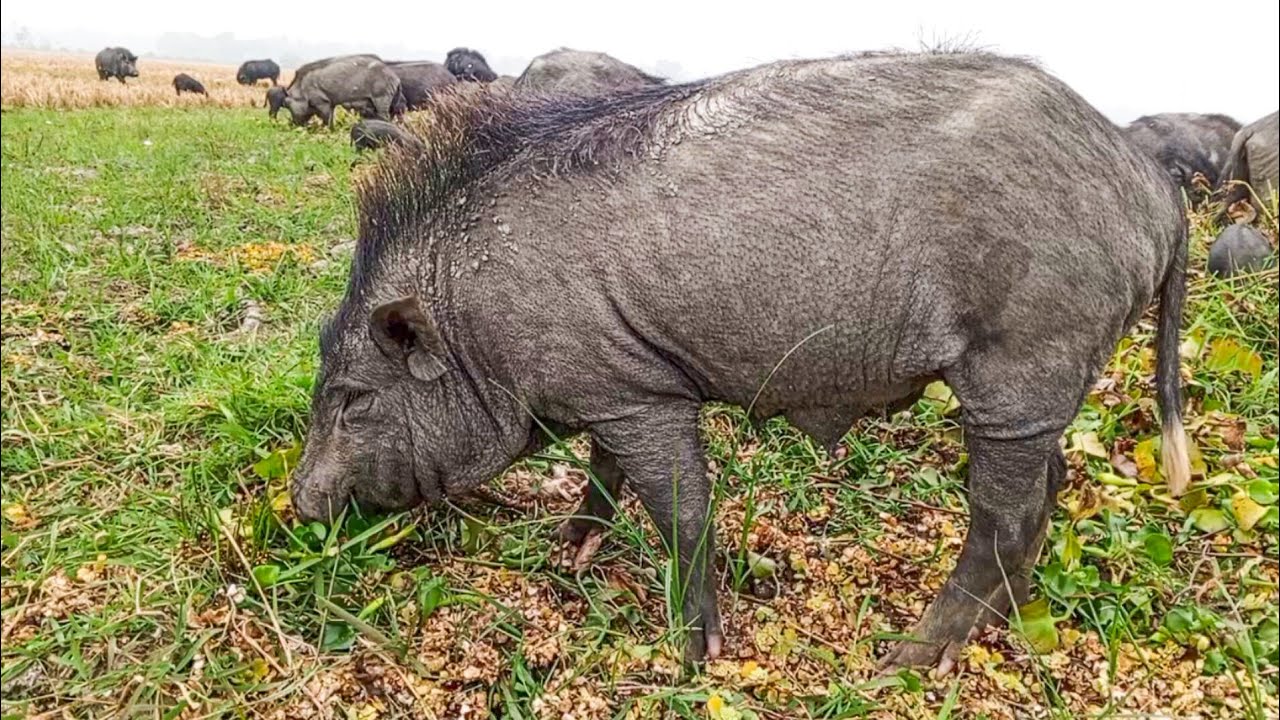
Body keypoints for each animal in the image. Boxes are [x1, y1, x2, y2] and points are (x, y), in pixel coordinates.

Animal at [290, 51, 1190, 672]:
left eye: (353, 398)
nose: (298, 501)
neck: (474, 322)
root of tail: (1157, 191)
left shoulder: (640, 395)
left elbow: (681, 510)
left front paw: (697, 657)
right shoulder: (610, 382)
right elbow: (603, 472)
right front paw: (569, 554)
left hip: (1022, 364)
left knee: (1001, 516)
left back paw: (906, 663)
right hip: (1045, 387)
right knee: (1049, 489)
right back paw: (1003, 627)